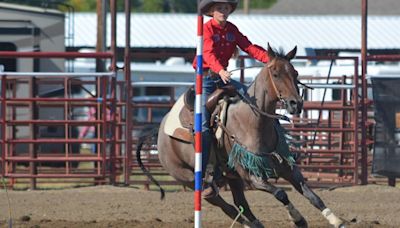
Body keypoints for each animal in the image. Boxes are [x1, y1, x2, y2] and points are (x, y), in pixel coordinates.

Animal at [137, 43, 344, 227]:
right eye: (275, 74)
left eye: (295, 73)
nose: (296, 104)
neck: (253, 123)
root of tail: (160, 130)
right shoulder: (252, 177)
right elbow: (281, 194)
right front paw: (298, 219)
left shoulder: (288, 168)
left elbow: (312, 195)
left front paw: (336, 220)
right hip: (187, 177)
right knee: (222, 203)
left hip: (232, 178)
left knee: (240, 204)